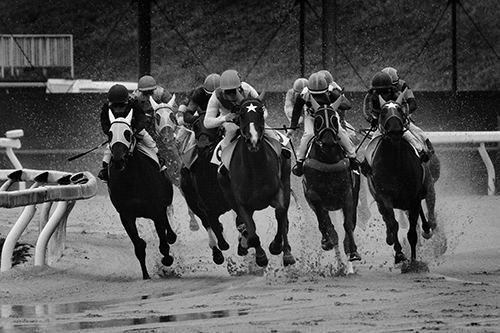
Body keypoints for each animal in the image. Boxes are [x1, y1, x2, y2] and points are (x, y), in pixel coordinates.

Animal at [106, 108, 177, 278]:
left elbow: (163, 243)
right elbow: (138, 246)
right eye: (110, 134)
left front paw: (167, 260)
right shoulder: (126, 215)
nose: (118, 160)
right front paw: (146, 275)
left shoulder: (157, 210)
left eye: (127, 133)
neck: (133, 179)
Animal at [217, 91, 294, 268]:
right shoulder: (242, 203)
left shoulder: (277, 192)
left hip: (286, 178)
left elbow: (281, 214)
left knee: (284, 217)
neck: (255, 170)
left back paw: (286, 251)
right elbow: (251, 232)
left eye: (260, 112)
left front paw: (277, 246)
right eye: (241, 114)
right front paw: (260, 256)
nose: (253, 140)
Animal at [300, 93, 360, 268]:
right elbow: (324, 221)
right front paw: (329, 240)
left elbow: (348, 224)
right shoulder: (313, 195)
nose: (327, 142)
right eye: (317, 120)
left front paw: (353, 251)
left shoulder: (347, 193)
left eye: (334, 119)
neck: (328, 160)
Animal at [366, 91, 440, 268]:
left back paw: (429, 228)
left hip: (426, 185)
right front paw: (400, 254)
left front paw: (414, 262)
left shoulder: (413, 197)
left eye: (400, 110)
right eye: (383, 112)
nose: (395, 130)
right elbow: (393, 224)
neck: (395, 165)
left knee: (429, 203)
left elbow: (412, 231)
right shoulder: (384, 197)